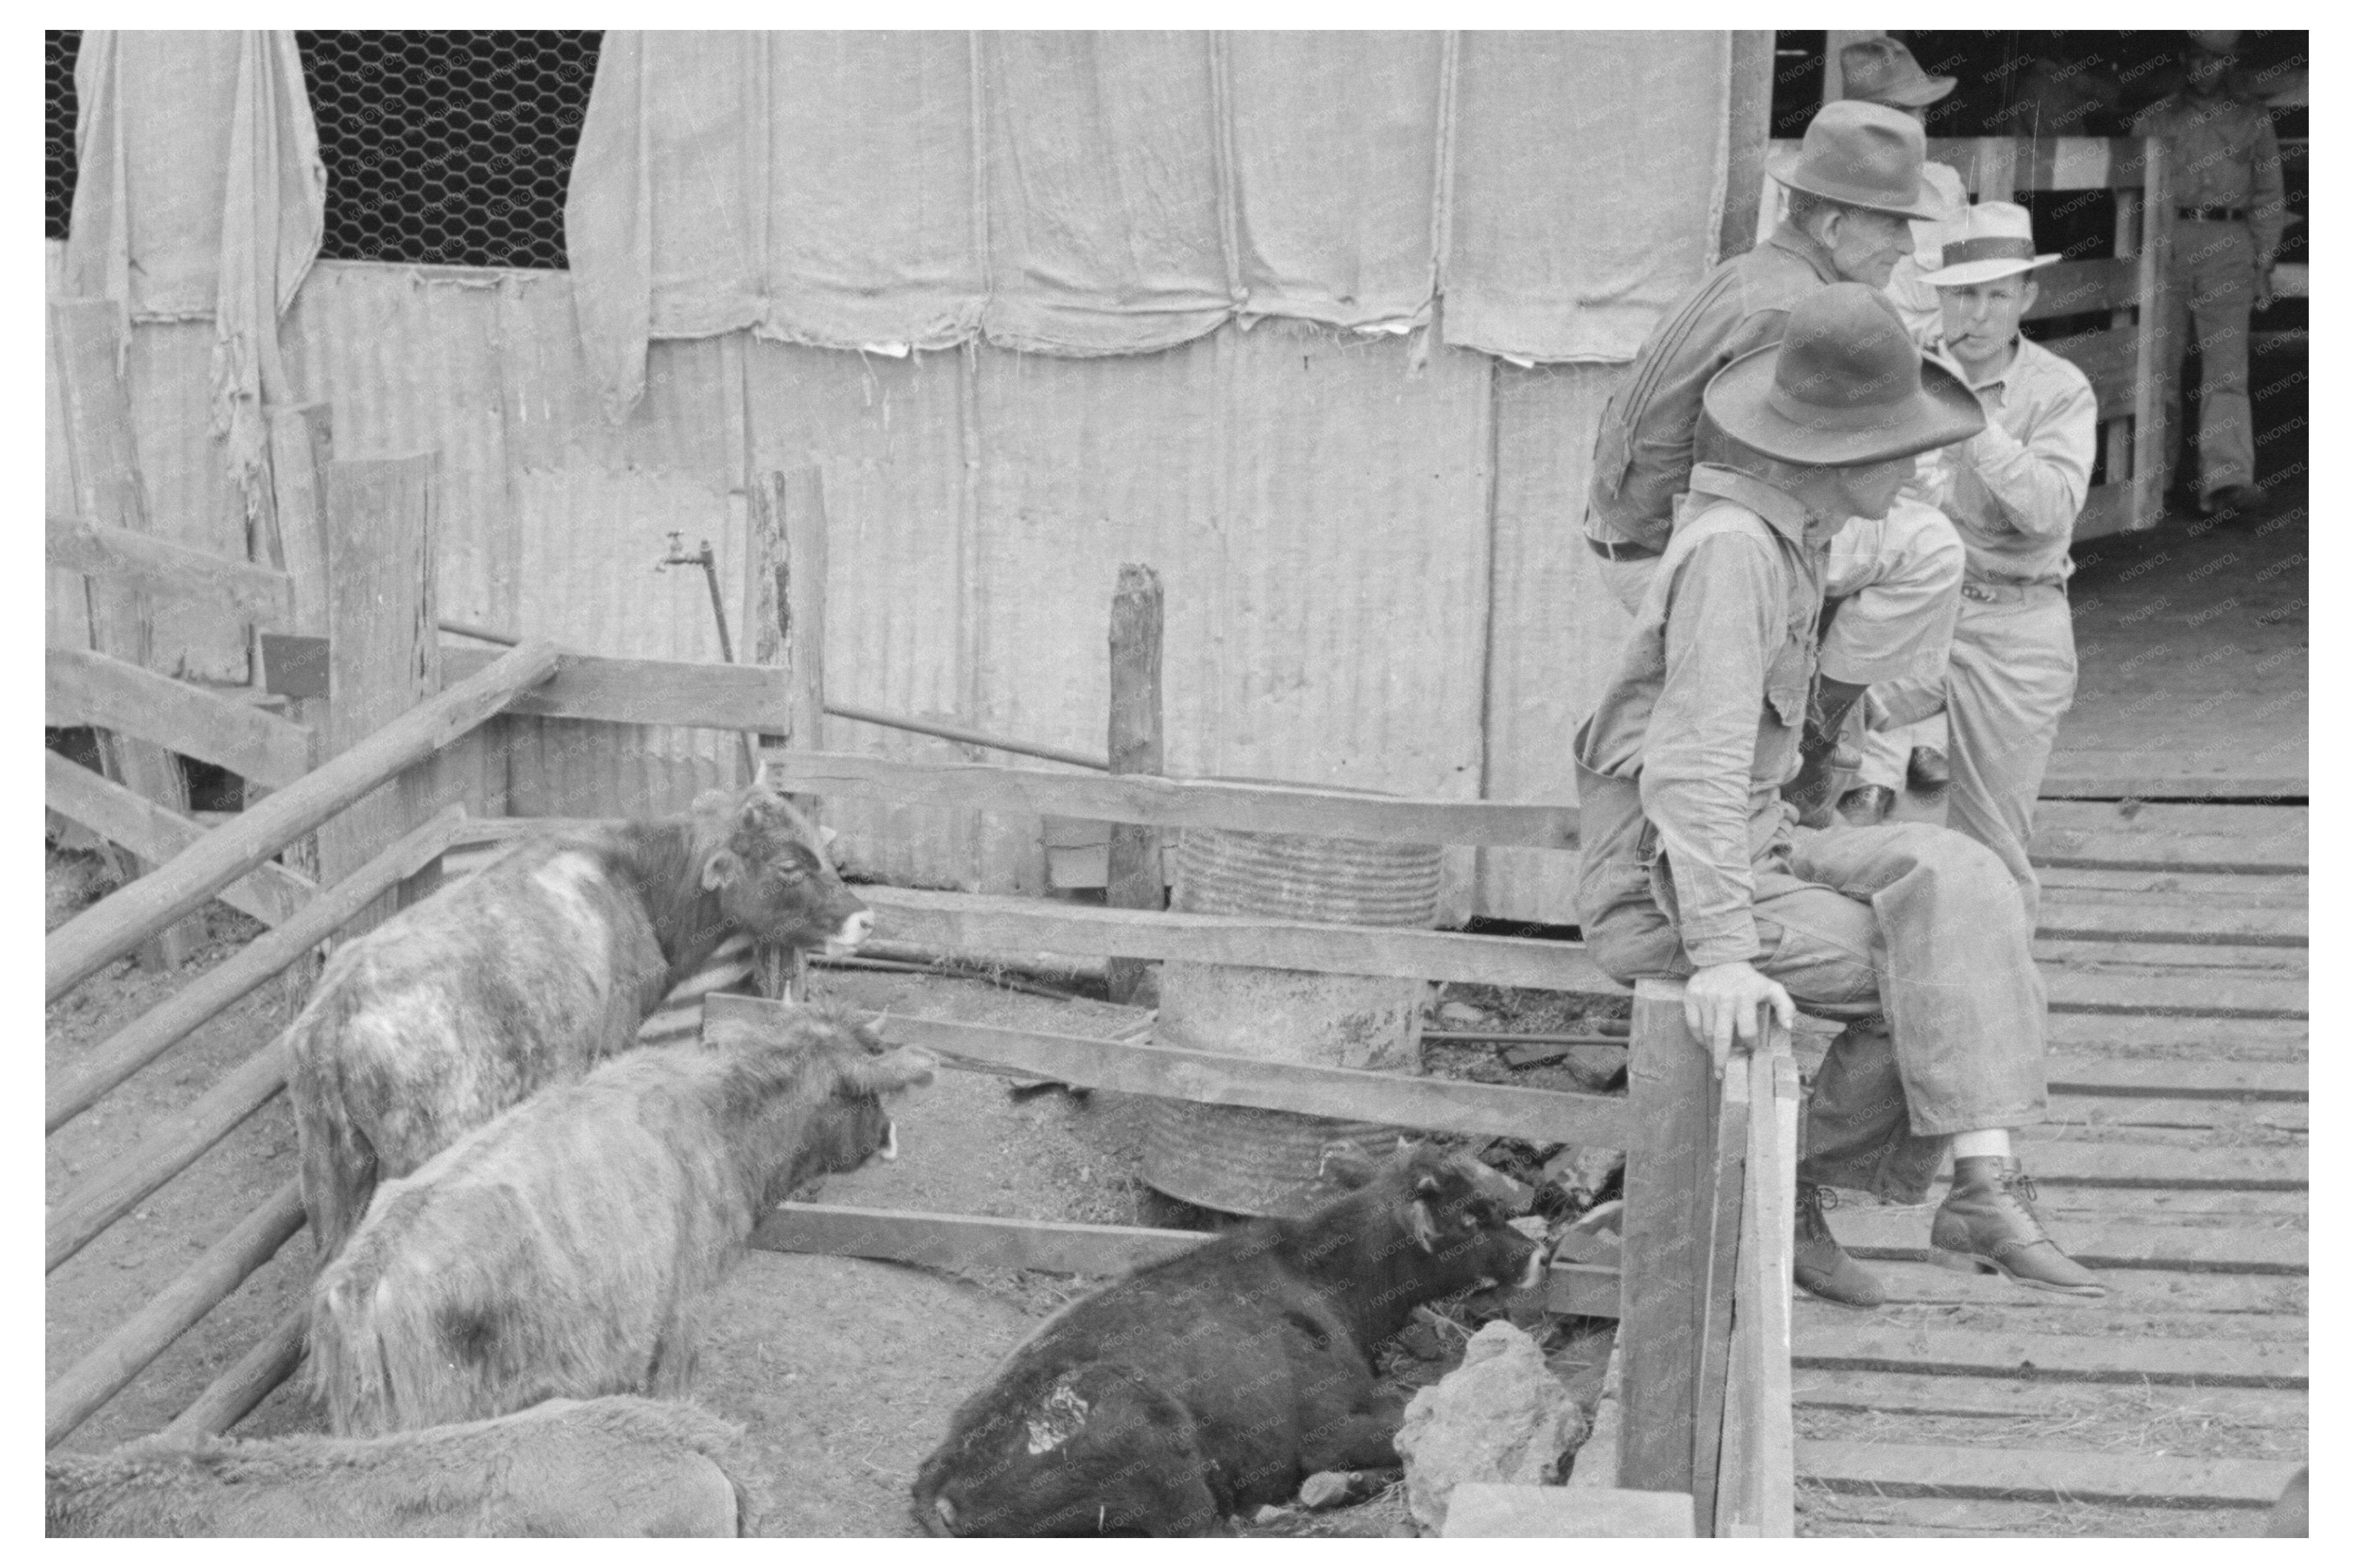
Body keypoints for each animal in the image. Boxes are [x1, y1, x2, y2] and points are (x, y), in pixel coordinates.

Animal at [904, 1134, 1544, 1525]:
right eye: (1471, 1218)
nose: (1538, 1254)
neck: (1323, 1282)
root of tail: (941, 1477)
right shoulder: (1328, 1430)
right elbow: (1409, 1418)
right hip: (1161, 1460)